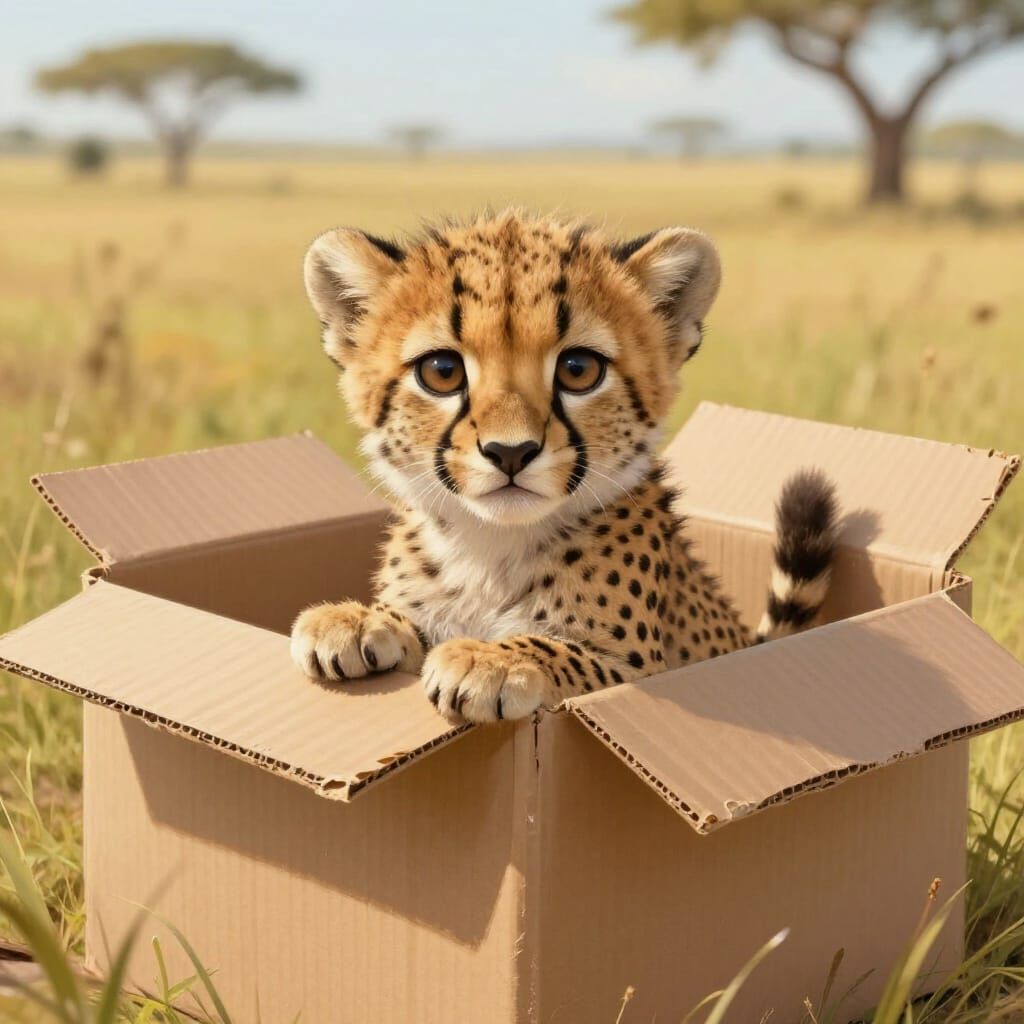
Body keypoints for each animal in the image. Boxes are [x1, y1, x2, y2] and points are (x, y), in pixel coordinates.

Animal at [290, 209, 838, 725]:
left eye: (579, 369)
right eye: (441, 371)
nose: (510, 452)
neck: (490, 550)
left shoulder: (647, 673)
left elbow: (568, 653)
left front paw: (493, 661)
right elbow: (411, 620)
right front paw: (360, 620)